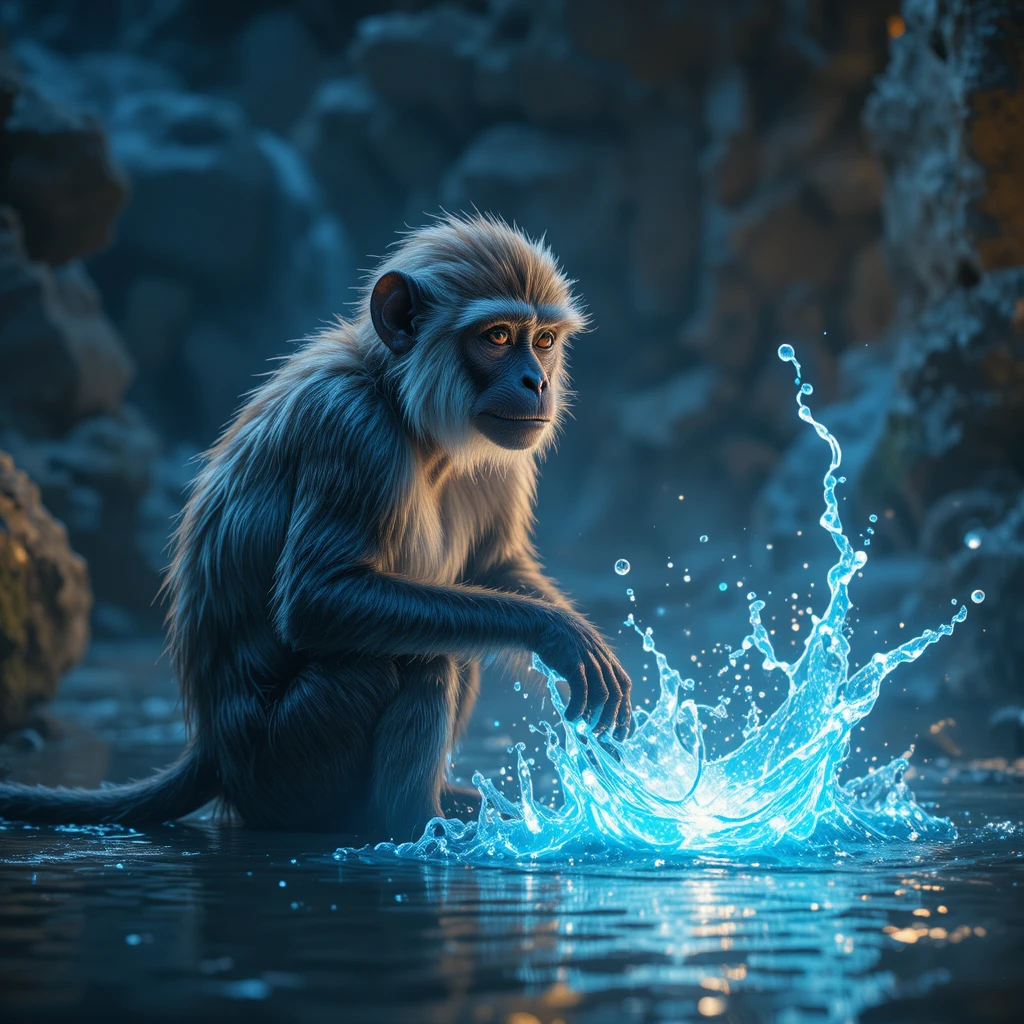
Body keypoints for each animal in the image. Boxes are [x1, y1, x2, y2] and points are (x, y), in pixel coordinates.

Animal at [0, 213, 632, 839]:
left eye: (543, 341)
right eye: (497, 337)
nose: (535, 382)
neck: (405, 409)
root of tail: (213, 753)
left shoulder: (506, 451)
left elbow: (495, 566)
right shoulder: (354, 429)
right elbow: (317, 599)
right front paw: (554, 632)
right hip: (285, 759)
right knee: (421, 660)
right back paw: (412, 825)